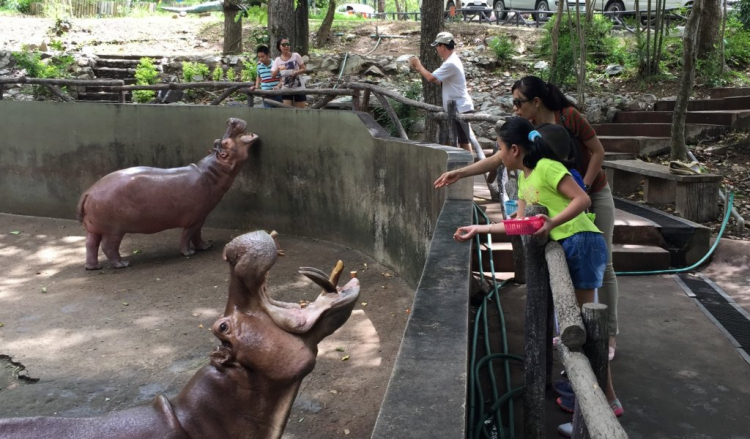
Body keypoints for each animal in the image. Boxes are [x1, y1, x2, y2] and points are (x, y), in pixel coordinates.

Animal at [76, 117, 258, 270]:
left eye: (218, 141)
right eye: (226, 142)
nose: (231, 120)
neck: (212, 171)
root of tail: (88, 193)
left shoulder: (200, 217)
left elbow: (197, 234)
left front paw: (205, 247)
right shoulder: (194, 218)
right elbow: (188, 235)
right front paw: (189, 253)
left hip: (94, 228)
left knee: (90, 244)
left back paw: (93, 267)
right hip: (114, 229)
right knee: (108, 246)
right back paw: (122, 264)